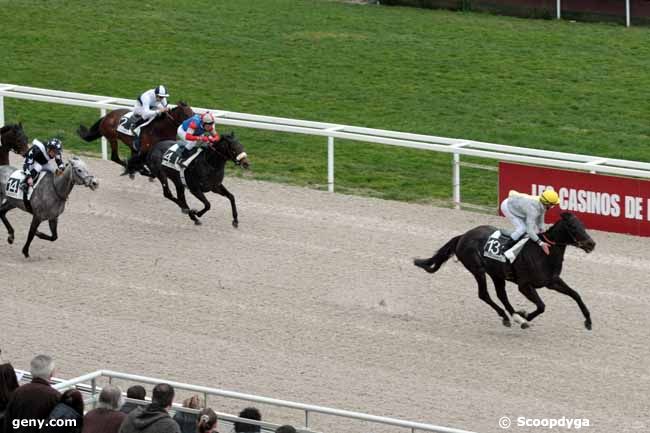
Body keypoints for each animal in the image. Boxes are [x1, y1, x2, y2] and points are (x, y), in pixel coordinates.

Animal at [412, 213, 596, 330]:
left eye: (583, 225)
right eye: (572, 226)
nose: (591, 244)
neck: (543, 253)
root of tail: (463, 236)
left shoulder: (552, 281)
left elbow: (575, 294)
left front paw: (588, 321)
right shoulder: (524, 285)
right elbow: (542, 306)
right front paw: (526, 315)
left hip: (496, 274)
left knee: (501, 295)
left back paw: (514, 316)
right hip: (477, 269)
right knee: (484, 294)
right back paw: (510, 317)